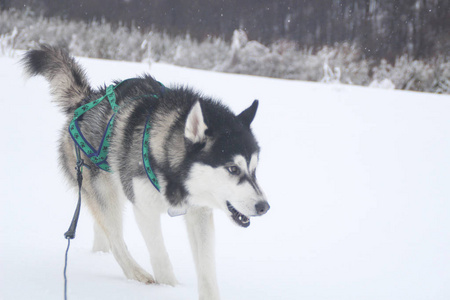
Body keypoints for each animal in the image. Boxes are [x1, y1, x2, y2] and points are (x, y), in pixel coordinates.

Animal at [22, 45, 268, 300]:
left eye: (254, 169)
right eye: (232, 168)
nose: (264, 207)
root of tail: (86, 100)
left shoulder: (199, 213)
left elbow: (207, 269)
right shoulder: (144, 209)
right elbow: (161, 258)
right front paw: (168, 289)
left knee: (103, 232)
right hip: (104, 192)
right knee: (116, 240)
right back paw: (138, 274)